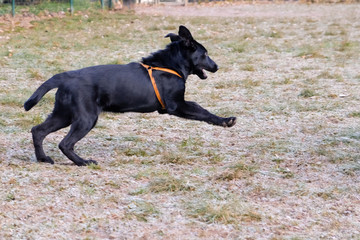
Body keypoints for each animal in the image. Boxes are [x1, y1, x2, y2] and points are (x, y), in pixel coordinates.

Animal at [23, 25, 236, 166]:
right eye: (205, 54)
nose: (217, 66)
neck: (171, 64)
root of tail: (65, 77)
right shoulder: (176, 105)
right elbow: (202, 110)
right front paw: (226, 120)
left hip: (63, 114)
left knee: (38, 131)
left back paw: (43, 158)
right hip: (85, 118)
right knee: (65, 143)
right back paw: (83, 162)